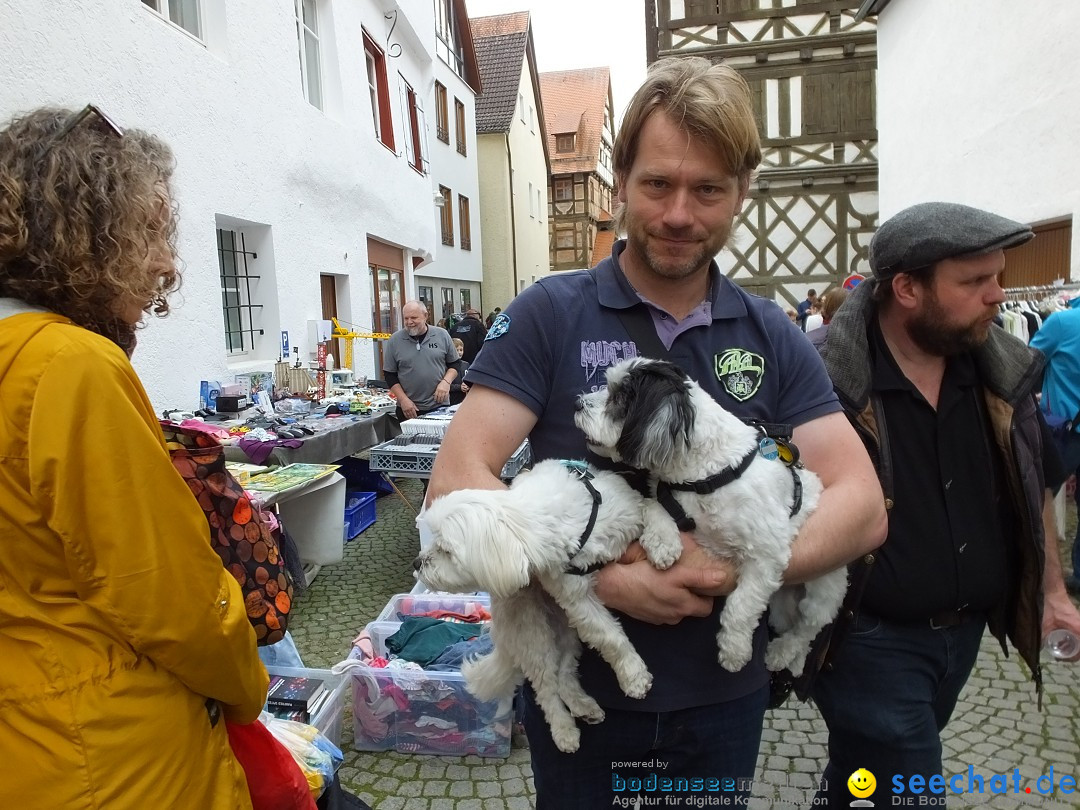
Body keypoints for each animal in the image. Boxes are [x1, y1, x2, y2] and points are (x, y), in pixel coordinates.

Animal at [416, 460, 660, 751]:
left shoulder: (627, 507)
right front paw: (634, 676)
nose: (417, 563)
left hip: (566, 630)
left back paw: (583, 706)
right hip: (533, 635)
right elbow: (611, 638)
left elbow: (650, 507)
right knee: (547, 688)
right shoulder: (575, 595)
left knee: (565, 674)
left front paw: (664, 542)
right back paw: (564, 730)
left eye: (445, 549)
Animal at [578, 358, 846, 673]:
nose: (578, 403)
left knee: (806, 631)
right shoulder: (666, 494)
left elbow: (740, 606)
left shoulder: (767, 555)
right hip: (782, 603)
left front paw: (734, 650)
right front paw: (662, 542)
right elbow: (653, 506)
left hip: (823, 591)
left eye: (619, 398)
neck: (704, 473)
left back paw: (782, 651)